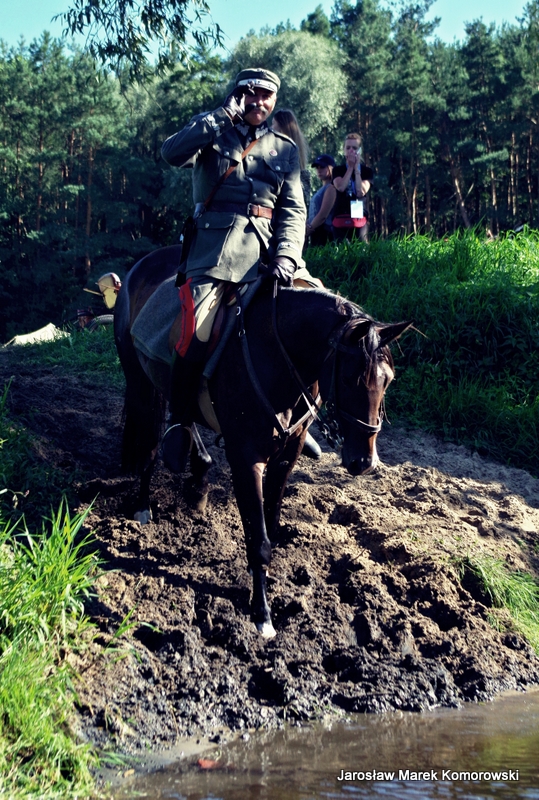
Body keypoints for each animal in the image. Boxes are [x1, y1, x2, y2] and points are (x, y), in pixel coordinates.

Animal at [114, 245, 412, 638]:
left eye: (388, 379)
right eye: (350, 378)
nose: (364, 462)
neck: (277, 356)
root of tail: (139, 266)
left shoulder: (288, 453)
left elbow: (269, 522)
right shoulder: (246, 458)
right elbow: (259, 540)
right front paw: (262, 613)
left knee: (185, 418)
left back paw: (198, 479)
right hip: (140, 382)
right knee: (150, 437)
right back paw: (144, 503)